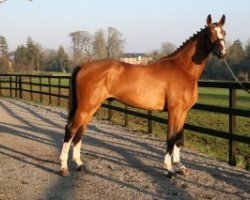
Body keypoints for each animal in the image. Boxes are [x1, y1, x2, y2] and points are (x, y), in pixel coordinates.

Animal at [60, 15, 227, 178]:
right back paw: (64, 167)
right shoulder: (174, 111)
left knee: (80, 131)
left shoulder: (183, 112)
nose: (222, 52)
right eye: (210, 34)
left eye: (224, 33)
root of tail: (84, 65)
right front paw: (169, 169)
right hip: (85, 107)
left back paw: (79, 164)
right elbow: (170, 138)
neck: (183, 70)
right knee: (71, 129)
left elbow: (178, 139)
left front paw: (180, 167)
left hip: (90, 107)